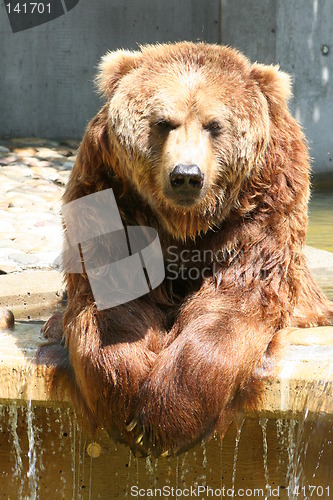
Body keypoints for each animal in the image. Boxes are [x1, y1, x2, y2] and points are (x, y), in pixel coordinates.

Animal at [41, 43, 332, 458]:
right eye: (163, 122)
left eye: (215, 125)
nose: (186, 175)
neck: (184, 224)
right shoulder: (109, 194)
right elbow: (110, 298)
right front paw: (125, 397)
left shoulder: (264, 208)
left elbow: (236, 300)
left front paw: (165, 416)